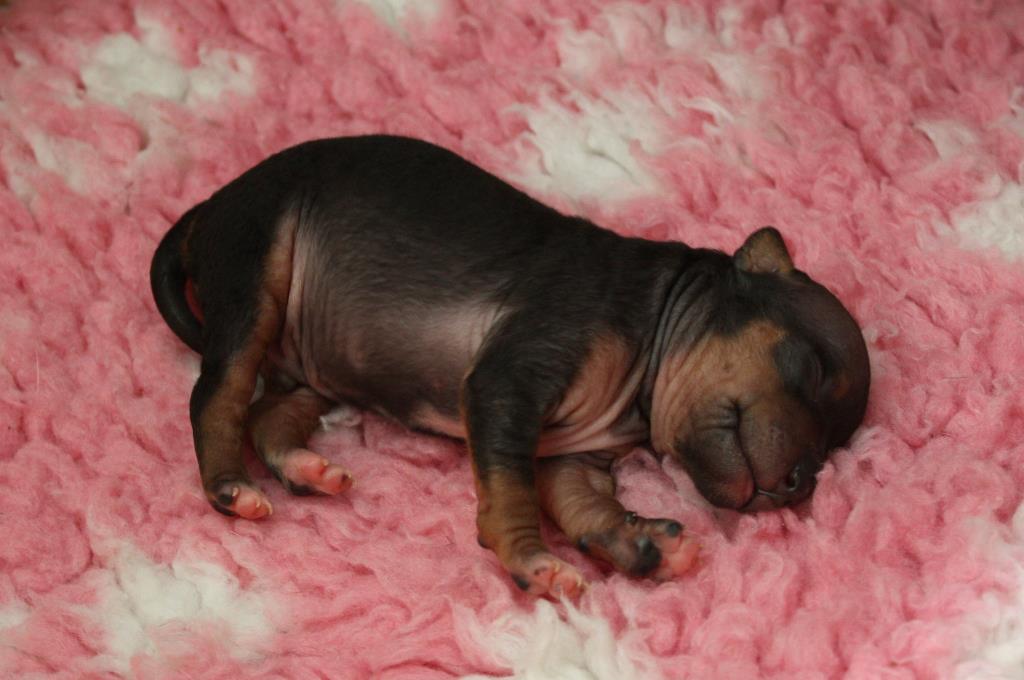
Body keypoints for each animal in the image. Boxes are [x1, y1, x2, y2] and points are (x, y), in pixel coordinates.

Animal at [150, 135, 870, 597]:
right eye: (811, 367)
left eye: (836, 448)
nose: (801, 481)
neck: (652, 330)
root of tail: (210, 206)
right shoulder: (510, 380)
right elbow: (511, 491)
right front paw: (532, 560)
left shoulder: (572, 458)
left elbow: (583, 505)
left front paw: (640, 546)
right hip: (255, 271)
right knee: (216, 397)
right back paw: (229, 485)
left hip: (316, 364)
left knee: (270, 414)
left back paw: (304, 467)